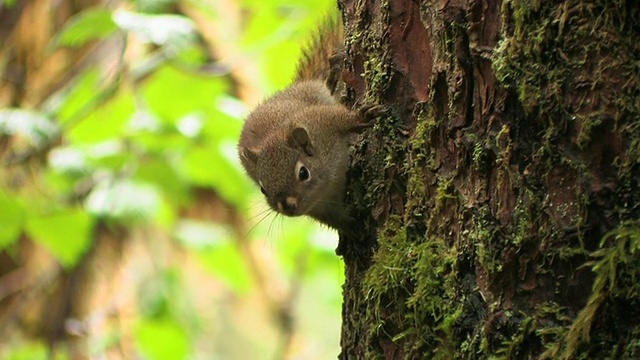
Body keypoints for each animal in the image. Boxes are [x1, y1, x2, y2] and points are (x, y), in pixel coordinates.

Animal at [239, 14, 380, 231]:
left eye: (303, 173)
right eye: (263, 189)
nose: (287, 205)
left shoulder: (321, 123)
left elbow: (341, 119)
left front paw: (361, 117)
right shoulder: (320, 209)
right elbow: (336, 220)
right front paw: (352, 227)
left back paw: (333, 73)